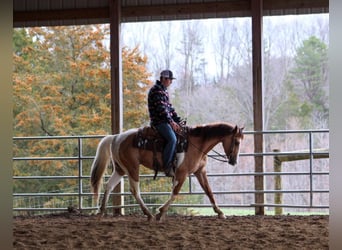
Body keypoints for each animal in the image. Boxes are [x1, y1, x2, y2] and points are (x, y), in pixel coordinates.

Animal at [90, 122, 243, 222]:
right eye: (236, 142)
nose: (234, 161)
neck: (196, 144)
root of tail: (116, 137)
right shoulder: (181, 173)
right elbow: (175, 193)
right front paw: (161, 212)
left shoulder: (200, 172)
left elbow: (209, 192)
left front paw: (220, 213)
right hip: (132, 168)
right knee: (134, 190)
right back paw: (149, 214)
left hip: (120, 169)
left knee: (109, 185)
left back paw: (101, 211)